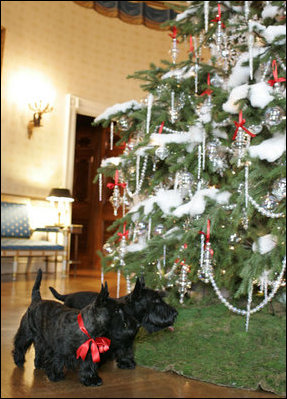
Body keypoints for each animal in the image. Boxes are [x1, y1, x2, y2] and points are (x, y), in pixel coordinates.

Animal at [11, 270, 140, 386]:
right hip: (26, 333)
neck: (86, 328)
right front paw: (55, 375)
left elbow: (88, 366)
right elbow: (56, 361)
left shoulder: (89, 353)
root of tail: (36, 300)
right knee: (19, 345)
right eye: (117, 310)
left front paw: (91, 379)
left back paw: (39, 363)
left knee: (39, 349)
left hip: (41, 339)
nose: (137, 325)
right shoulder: (60, 351)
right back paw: (19, 360)